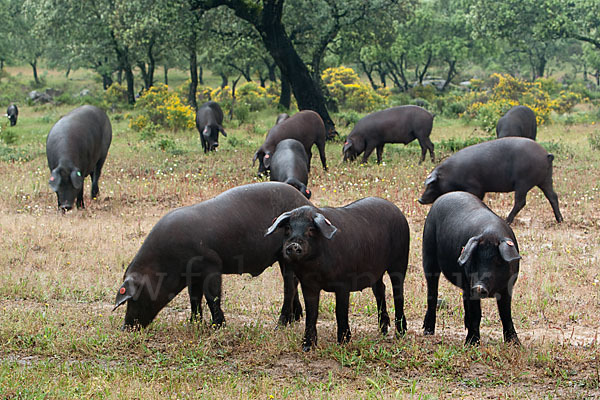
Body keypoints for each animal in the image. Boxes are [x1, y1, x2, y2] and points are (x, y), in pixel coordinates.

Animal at [113, 183, 312, 330]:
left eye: (135, 298)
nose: (124, 328)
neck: (164, 263)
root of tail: (308, 203)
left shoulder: (211, 264)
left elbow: (212, 296)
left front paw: (217, 326)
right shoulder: (192, 275)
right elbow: (194, 297)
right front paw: (193, 323)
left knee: (289, 287)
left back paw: (280, 325)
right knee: (293, 283)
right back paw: (295, 319)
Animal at [266, 198, 410, 352]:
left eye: (311, 230)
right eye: (288, 228)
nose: (293, 245)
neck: (315, 267)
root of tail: (397, 210)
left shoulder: (343, 283)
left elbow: (340, 311)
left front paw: (343, 342)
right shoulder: (308, 284)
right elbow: (312, 312)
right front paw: (307, 347)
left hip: (400, 260)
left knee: (398, 293)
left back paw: (400, 333)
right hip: (376, 270)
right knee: (380, 290)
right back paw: (383, 330)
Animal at [418, 137, 564, 225]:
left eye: (432, 183)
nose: (420, 199)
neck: (450, 174)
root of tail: (546, 155)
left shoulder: (475, 187)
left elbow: (477, 197)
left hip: (523, 182)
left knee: (521, 202)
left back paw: (507, 221)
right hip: (546, 179)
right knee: (553, 196)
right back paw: (560, 220)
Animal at [422, 191, 520, 344]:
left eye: (498, 260)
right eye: (475, 259)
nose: (479, 286)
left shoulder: (508, 286)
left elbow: (505, 313)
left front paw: (515, 343)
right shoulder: (470, 285)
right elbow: (476, 313)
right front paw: (471, 343)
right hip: (428, 251)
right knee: (432, 291)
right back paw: (428, 331)